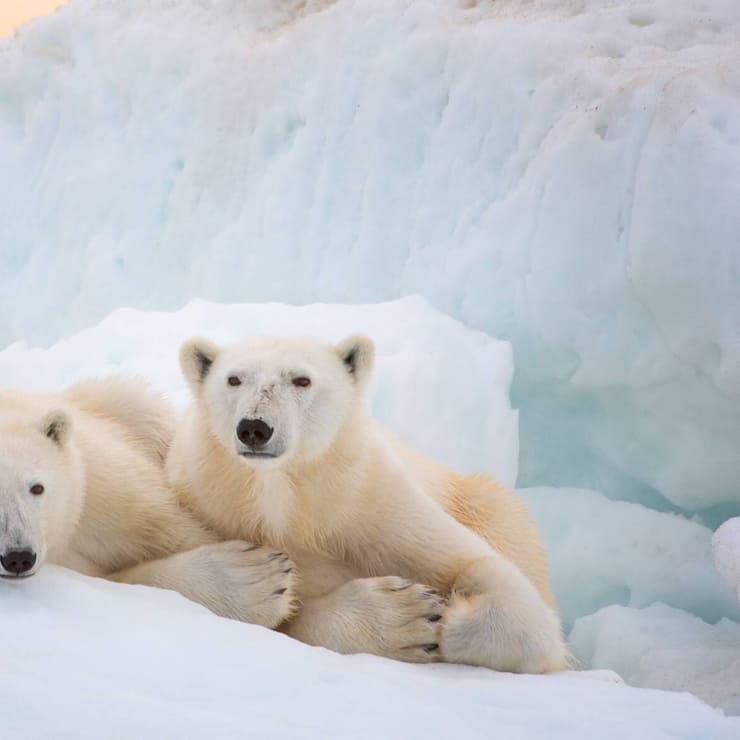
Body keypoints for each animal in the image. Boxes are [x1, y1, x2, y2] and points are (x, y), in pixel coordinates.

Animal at [168, 333, 568, 673]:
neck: (286, 500)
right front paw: (407, 616)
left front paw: (448, 617)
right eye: (234, 379)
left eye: (302, 380)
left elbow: (478, 566)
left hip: (481, 502)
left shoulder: (370, 504)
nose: (254, 427)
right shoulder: (214, 506)